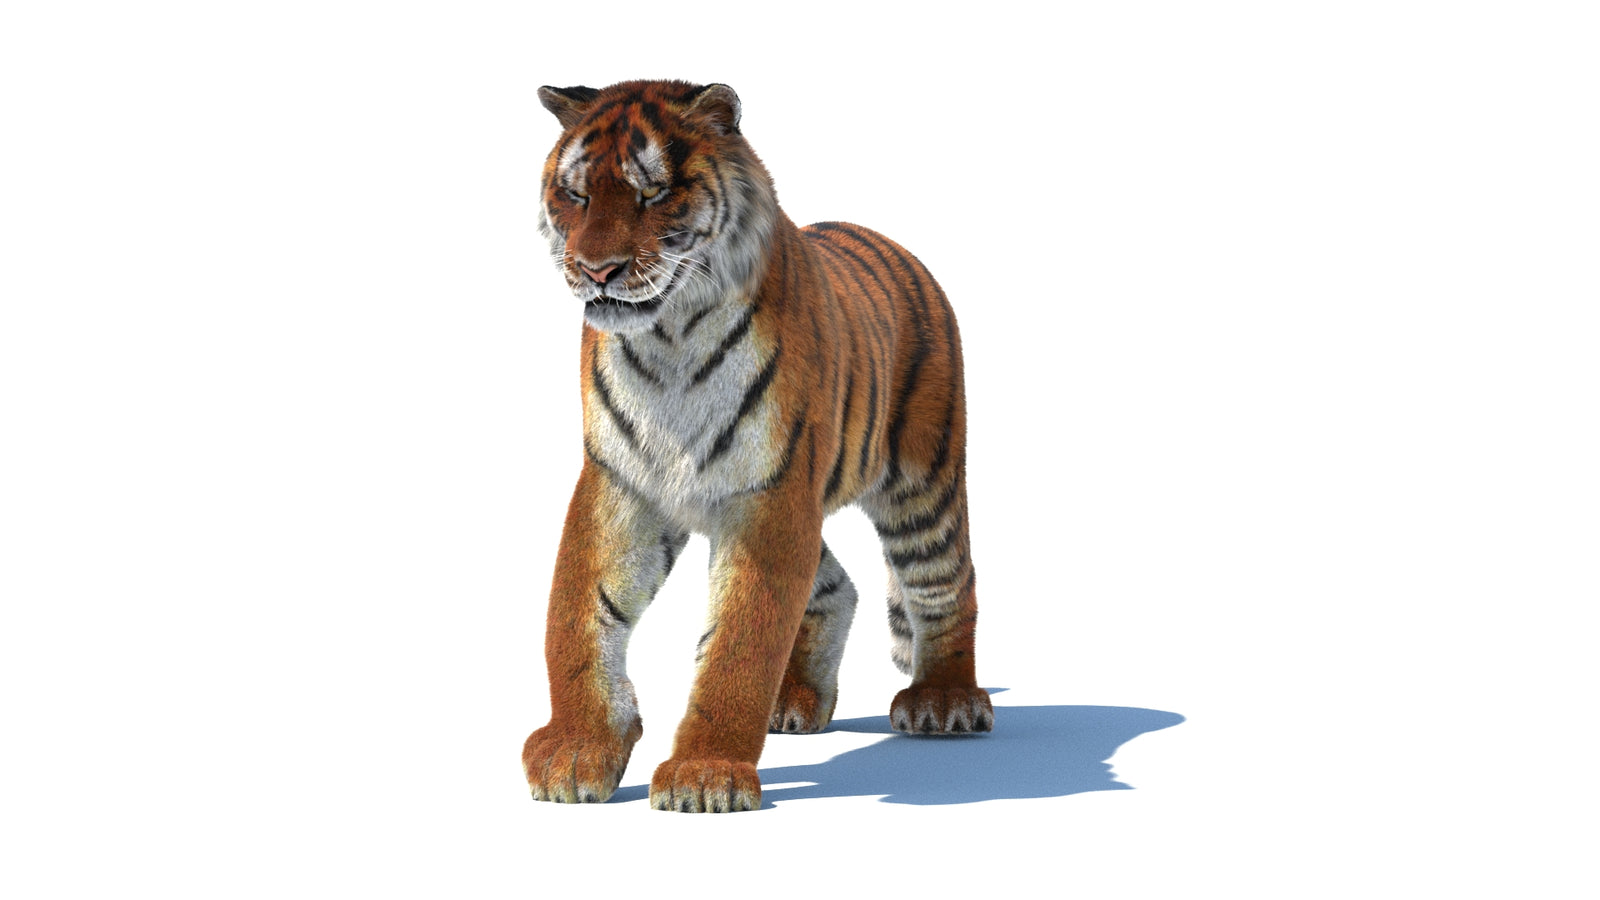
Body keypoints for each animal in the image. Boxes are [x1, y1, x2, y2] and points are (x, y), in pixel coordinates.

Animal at [523, 79, 991, 813]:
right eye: (575, 194)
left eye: (654, 193)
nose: (597, 270)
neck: (669, 340)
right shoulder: (620, 481)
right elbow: (576, 616)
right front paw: (577, 751)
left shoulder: (768, 494)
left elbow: (740, 640)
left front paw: (704, 775)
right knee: (838, 585)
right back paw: (796, 702)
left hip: (923, 483)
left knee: (947, 585)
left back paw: (943, 702)